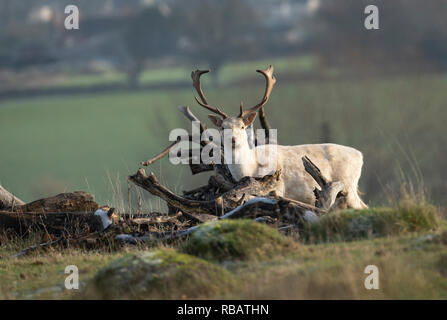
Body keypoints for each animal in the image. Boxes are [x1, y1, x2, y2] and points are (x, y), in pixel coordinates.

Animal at [191, 66, 370, 209]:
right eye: (222, 127)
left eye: (242, 126)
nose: (233, 139)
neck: (250, 168)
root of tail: (360, 155)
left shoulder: (277, 187)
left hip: (348, 184)